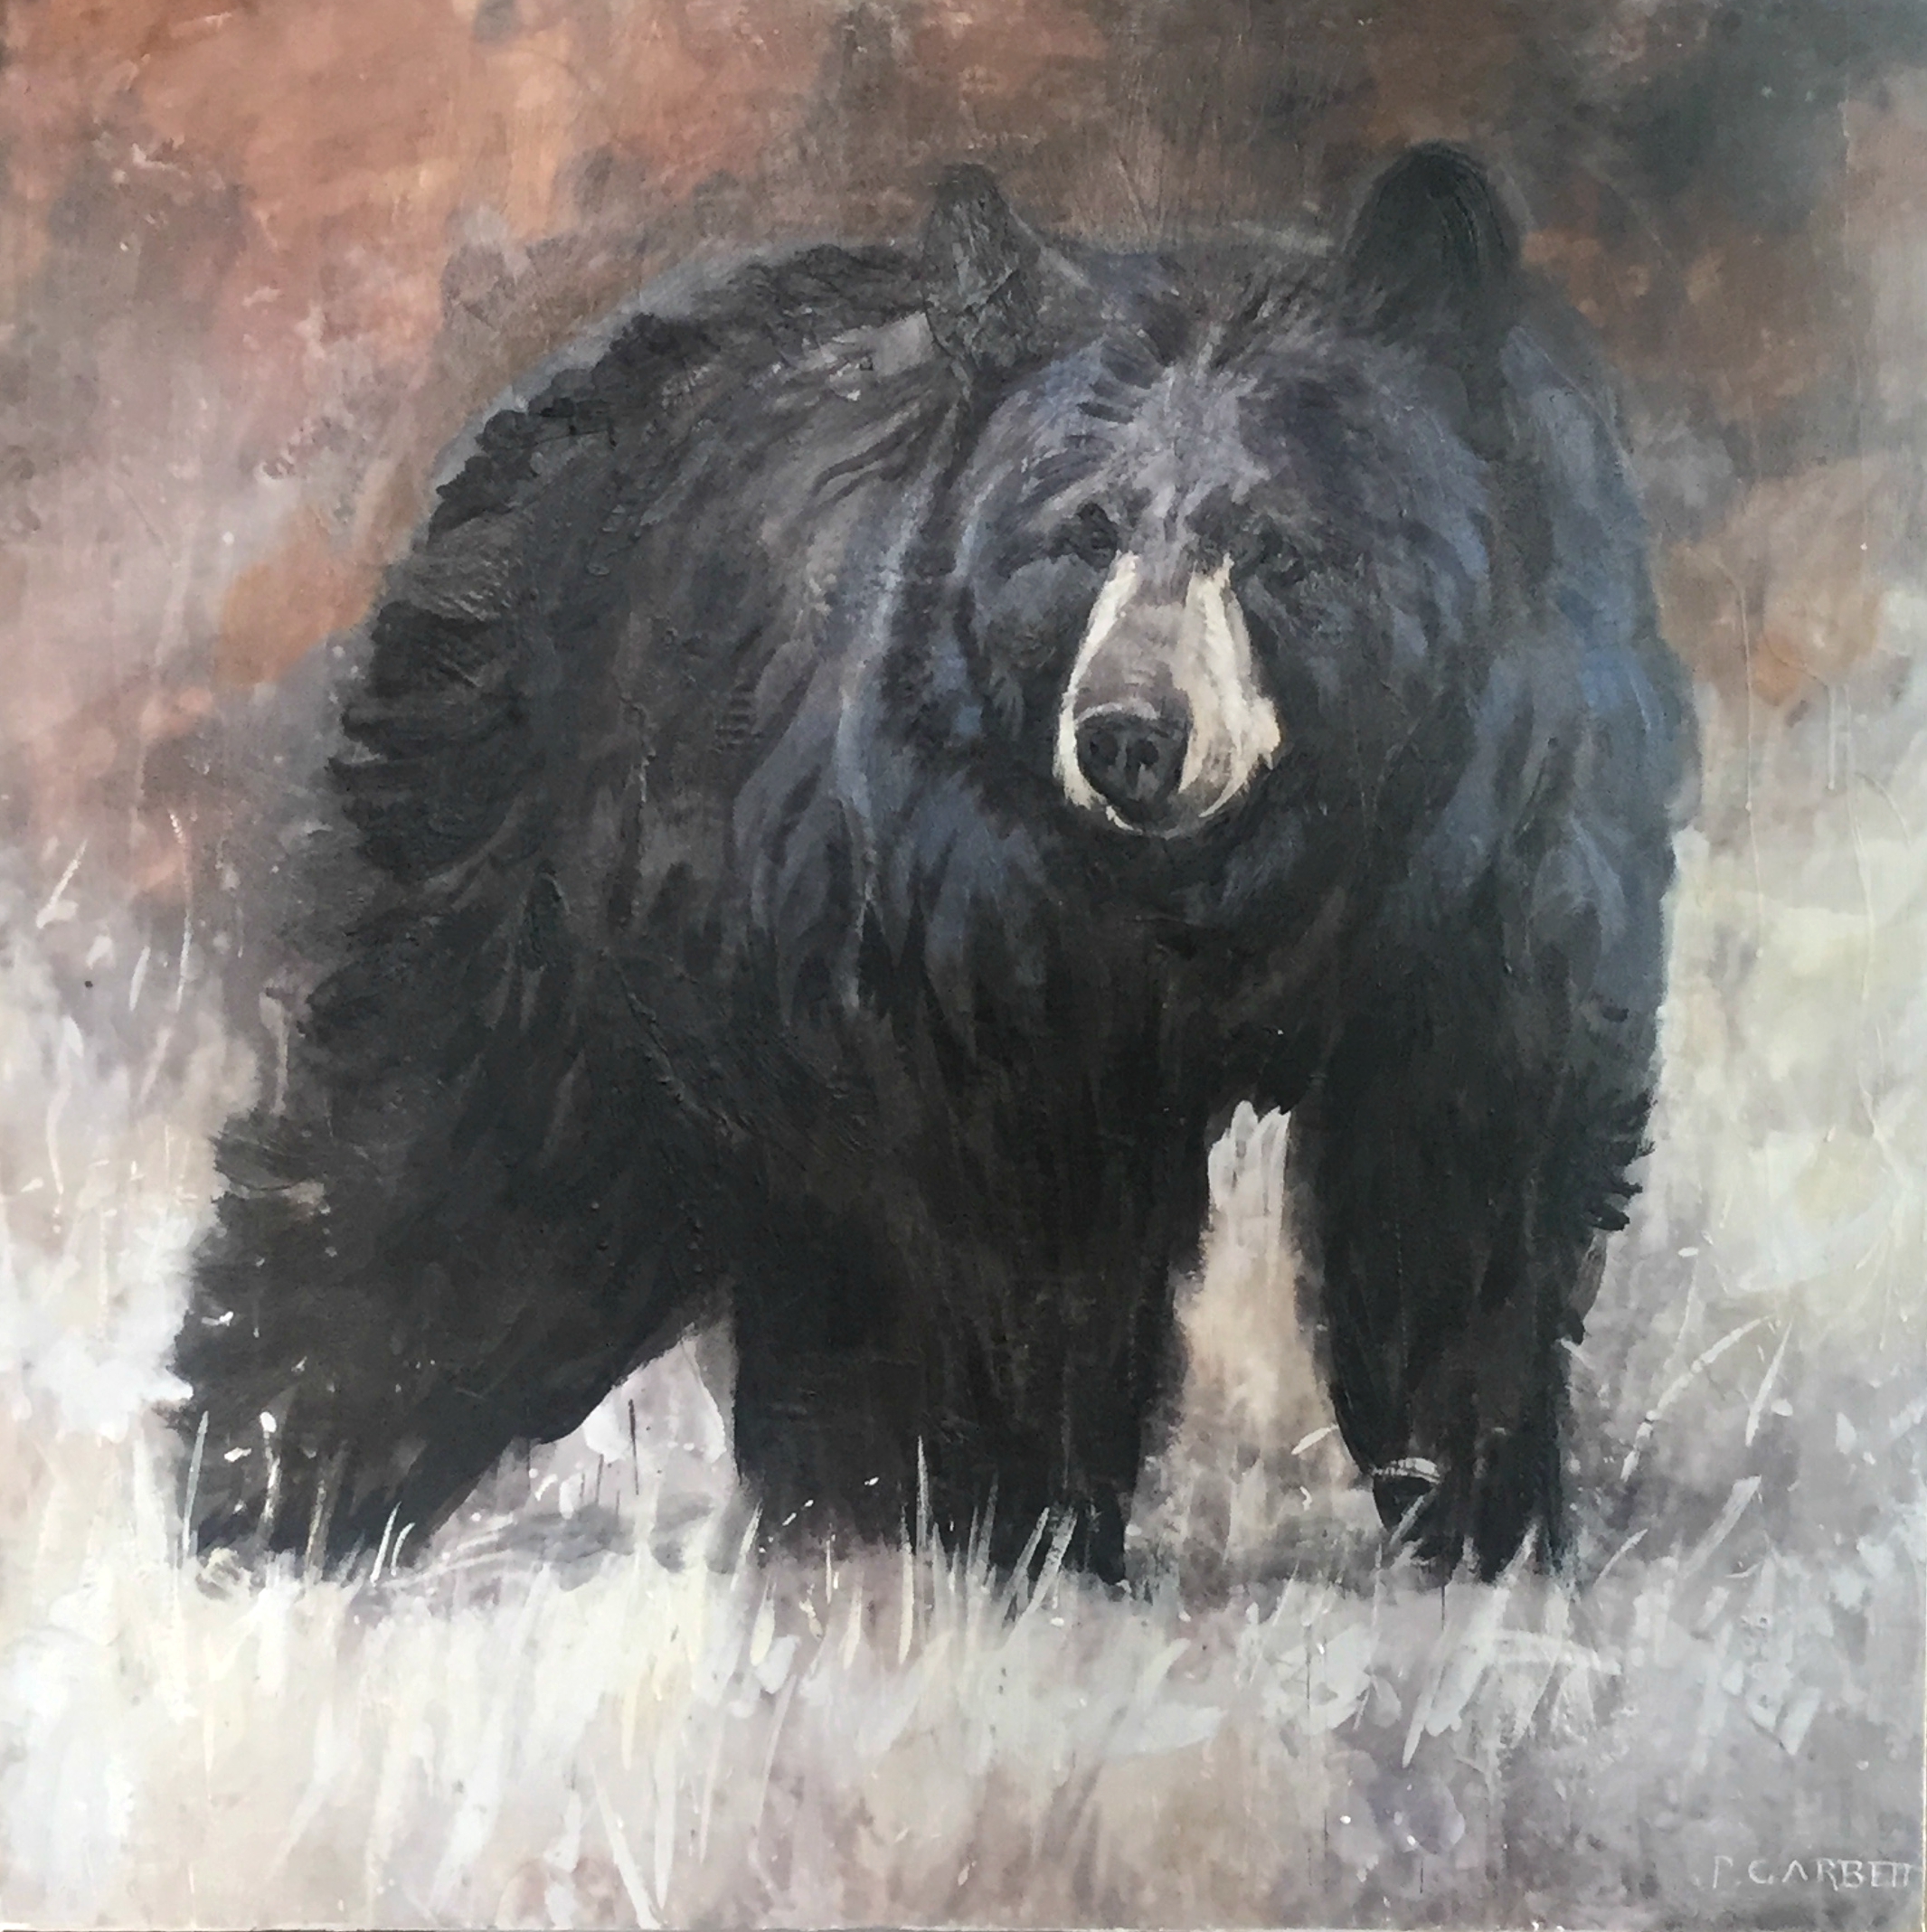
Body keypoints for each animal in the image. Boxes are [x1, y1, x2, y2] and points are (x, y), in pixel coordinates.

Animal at [172, 145, 1693, 1587]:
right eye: (1081, 531)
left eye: (1272, 543)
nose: (1130, 736)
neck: (1227, 889)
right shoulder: (974, 917)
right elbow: (1028, 1221)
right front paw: (1014, 1532)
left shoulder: (1489, 863)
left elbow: (1461, 1170)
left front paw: (1481, 1515)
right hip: (560, 865)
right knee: (458, 1137)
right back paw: (262, 1487)